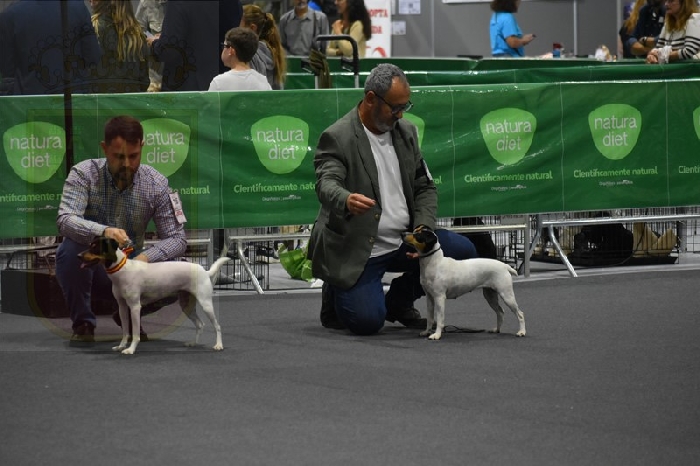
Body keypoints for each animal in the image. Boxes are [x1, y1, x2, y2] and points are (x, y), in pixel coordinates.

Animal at [78, 237, 230, 354]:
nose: (79, 255)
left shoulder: (135, 307)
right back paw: (193, 343)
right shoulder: (122, 307)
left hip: (206, 304)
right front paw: (121, 346)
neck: (122, 270)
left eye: (95, 247)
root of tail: (205, 270)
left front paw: (131, 349)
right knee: (200, 324)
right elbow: (126, 331)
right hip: (186, 305)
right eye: (90, 245)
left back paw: (219, 345)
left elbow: (135, 333)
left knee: (217, 326)